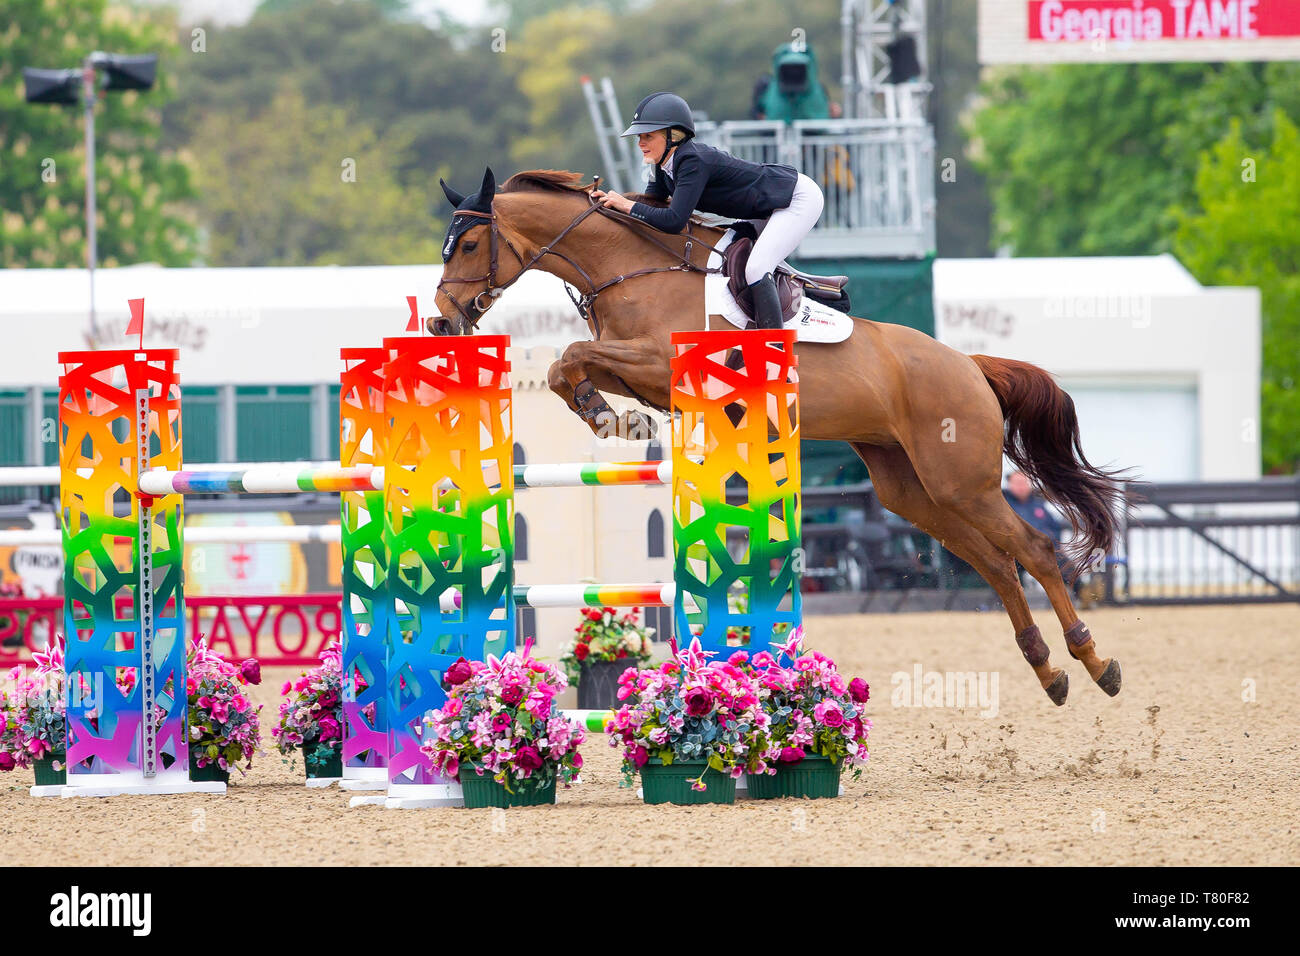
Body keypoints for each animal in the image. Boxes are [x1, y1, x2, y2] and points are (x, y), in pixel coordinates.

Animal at [431, 166, 1125, 705]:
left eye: (467, 245)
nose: (441, 320)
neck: (631, 268)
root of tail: (971, 366)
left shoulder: (657, 362)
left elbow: (572, 354)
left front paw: (610, 417)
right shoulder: (633, 364)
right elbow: (564, 365)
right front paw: (609, 414)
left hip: (963, 481)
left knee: (1035, 550)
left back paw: (1096, 663)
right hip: (913, 489)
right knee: (997, 565)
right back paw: (1049, 672)